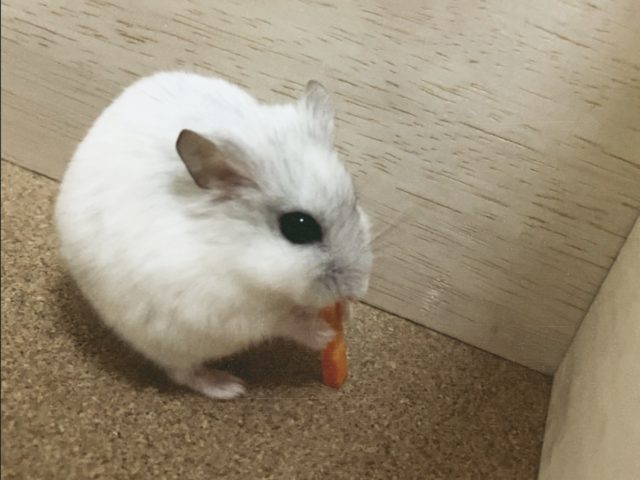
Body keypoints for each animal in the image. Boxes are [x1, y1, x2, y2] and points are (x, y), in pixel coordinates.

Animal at [55, 71, 372, 400]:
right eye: (298, 226)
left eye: (355, 201)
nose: (358, 289)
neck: (238, 257)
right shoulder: (229, 311)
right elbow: (285, 321)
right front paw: (325, 334)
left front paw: (345, 313)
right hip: (169, 343)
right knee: (183, 373)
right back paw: (229, 387)